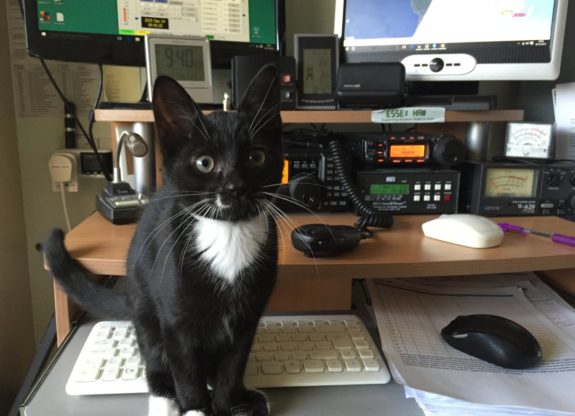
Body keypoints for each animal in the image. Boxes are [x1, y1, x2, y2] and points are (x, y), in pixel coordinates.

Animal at [44, 66, 286, 416]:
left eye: (256, 157)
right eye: (204, 163)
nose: (235, 187)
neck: (229, 233)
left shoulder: (246, 319)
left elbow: (231, 368)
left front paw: (226, 404)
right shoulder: (175, 321)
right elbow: (185, 371)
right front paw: (196, 408)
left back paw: (249, 397)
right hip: (146, 312)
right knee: (157, 365)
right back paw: (165, 401)